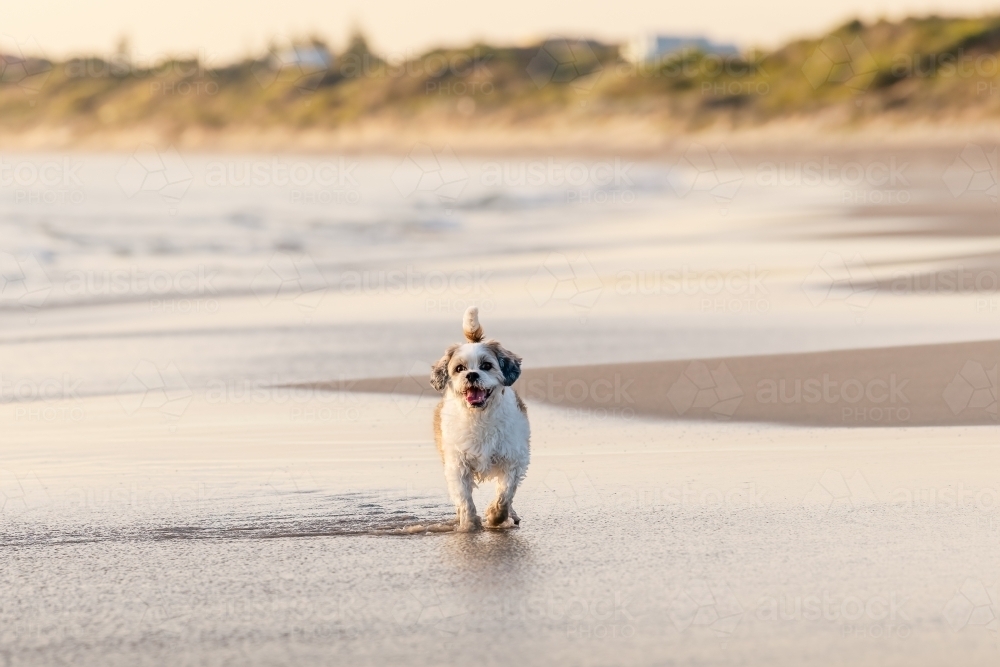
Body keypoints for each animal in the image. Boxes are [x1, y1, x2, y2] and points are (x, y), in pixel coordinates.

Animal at [434, 308, 536, 532]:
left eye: (487, 366)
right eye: (459, 369)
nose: (472, 375)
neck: (479, 416)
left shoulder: (513, 458)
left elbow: (505, 494)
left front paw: (496, 517)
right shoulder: (457, 463)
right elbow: (464, 498)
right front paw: (468, 524)